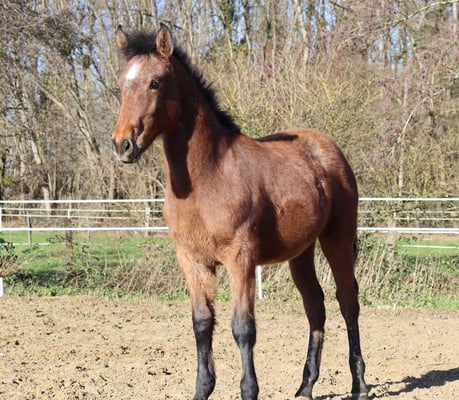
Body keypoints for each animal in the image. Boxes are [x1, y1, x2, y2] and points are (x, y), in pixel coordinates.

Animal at [112, 24, 368, 400]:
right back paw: (305, 386)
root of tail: (328, 147)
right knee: (315, 306)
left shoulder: (240, 258)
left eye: (154, 83)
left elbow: (243, 327)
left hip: (337, 239)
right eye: (121, 84)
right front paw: (202, 389)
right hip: (301, 252)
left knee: (347, 301)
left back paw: (359, 385)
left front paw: (249, 390)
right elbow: (202, 324)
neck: (208, 176)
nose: (122, 144)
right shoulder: (192, 260)